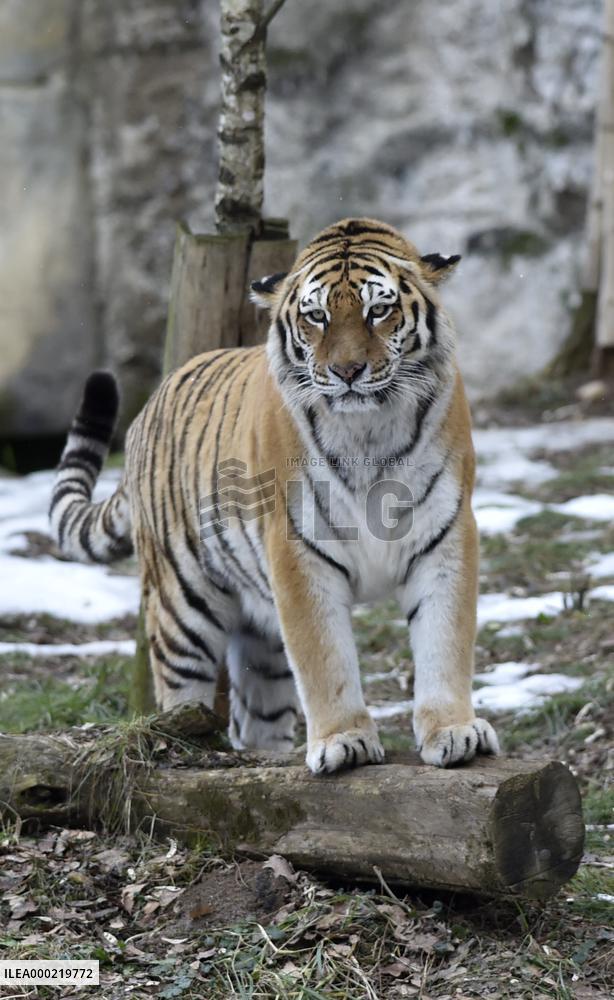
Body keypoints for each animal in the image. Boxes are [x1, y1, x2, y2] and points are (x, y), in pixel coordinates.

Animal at [50, 217, 499, 774]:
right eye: (317, 316)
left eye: (378, 310)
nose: (348, 372)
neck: (368, 431)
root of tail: (150, 404)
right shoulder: (298, 551)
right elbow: (325, 658)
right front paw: (344, 741)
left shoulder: (445, 537)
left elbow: (445, 641)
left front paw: (455, 731)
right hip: (181, 606)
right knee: (180, 688)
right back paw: (187, 741)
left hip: (259, 636)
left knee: (255, 720)